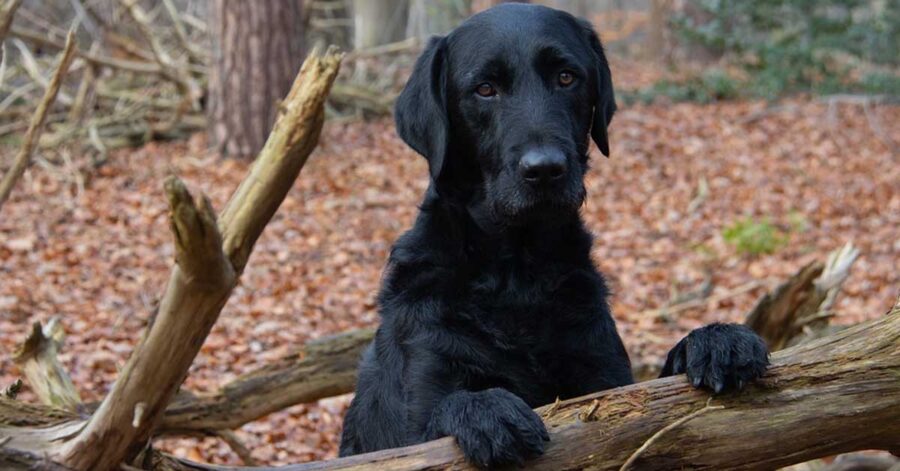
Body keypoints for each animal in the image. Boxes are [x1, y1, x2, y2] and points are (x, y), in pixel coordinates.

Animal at [338, 3, 768, 468]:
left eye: (566, 77)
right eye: (485, 89)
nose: (544, 169)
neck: (517, 274)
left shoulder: (606, 379)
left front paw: (714, 340)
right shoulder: (418, 395)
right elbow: (438, 417)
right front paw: (484, 409)